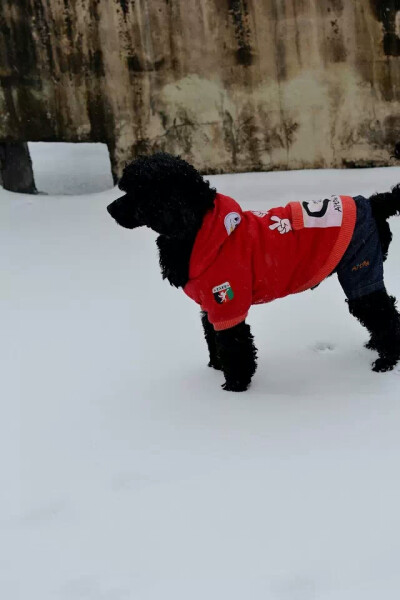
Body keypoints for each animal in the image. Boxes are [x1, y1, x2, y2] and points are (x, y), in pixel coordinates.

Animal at [106, 152, 400, 392]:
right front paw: (216, 367)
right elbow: (213, 338)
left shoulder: (228, 302)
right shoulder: (210, 306)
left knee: (384, 315)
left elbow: (235, 346)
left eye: (139, 191)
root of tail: (373, 202)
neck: (199, 229)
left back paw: (386, 360)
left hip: (361, 270)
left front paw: (235, 387)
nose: (109, 208)